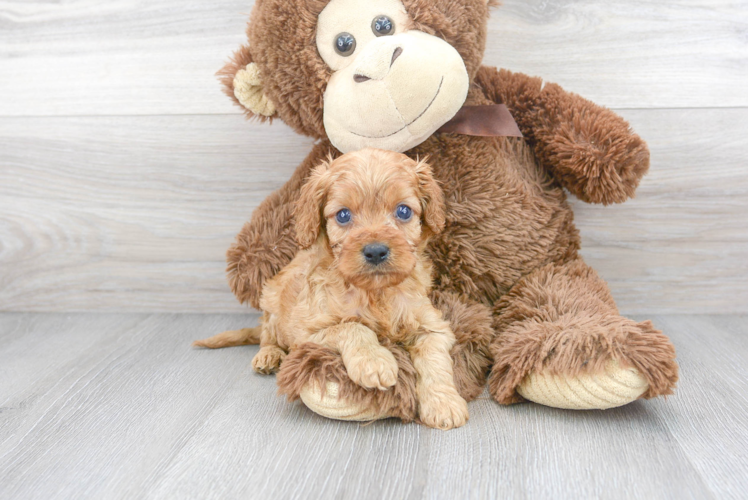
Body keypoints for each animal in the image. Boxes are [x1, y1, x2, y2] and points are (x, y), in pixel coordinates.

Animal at [196, 147, 470, 430]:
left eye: (403, 211)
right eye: (343, 215)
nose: (375, 251)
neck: (375, 292)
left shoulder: (433, 327)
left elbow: (435, 359)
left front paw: (443, 404)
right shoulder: (308, 332)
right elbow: (352, 327)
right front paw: (374, 361)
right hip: (271, 300)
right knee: (266, 336)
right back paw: (268, 355)